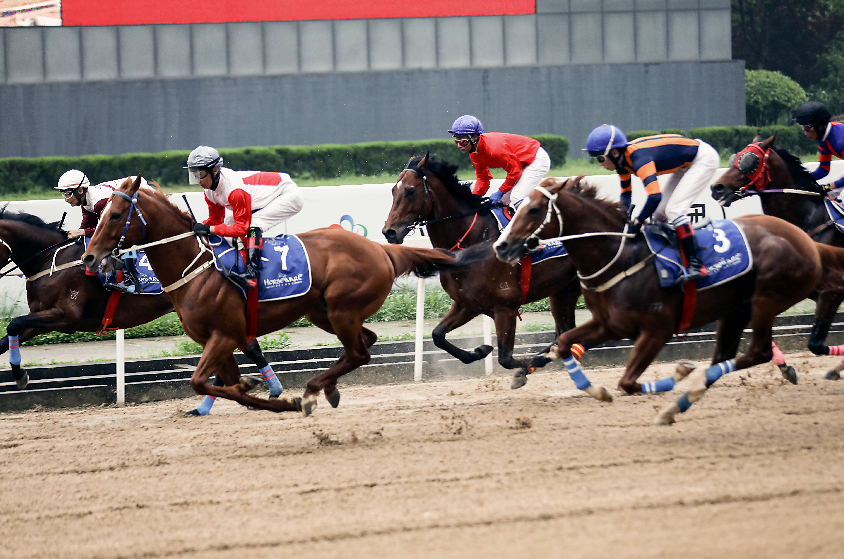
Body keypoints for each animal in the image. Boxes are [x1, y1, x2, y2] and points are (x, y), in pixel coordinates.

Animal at [0, 207, 174, 390]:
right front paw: (19, 374)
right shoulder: (41, 317)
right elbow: (6, 339)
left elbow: (14, 323)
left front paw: (19, 375)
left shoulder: (66, 317)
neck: (49, 260)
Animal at [82, 175, 472, 416]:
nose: (89, 257)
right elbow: (229, 385)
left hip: (342, 310)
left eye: (115, 215)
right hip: (324, 311)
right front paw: (254, 385)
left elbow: (201, 382)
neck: (196, 269)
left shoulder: (224, 335)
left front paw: (287, 400)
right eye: (99, 214)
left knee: (359, 352)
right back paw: (328, 388)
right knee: (366, 341)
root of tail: (381, 248)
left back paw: (314, 389)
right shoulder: (221, 339)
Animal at [380, 153, 588, 390]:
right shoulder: (467, 304)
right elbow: (437, 335)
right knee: (564, 332)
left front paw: (524, 364)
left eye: (410, 191)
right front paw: (479, 351)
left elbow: (505, 358)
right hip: (564, 290)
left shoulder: (505, 307)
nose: (389, 232)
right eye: (393, 190)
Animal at [492, 176, 828, 424]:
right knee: (725, 357)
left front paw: (675, 374)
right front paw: (596, 390)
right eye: (519, 207)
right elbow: (563, 343)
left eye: (534, 210)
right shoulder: (608, 325)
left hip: (767, 298)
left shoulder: (657, 329)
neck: (621, 257)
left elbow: (626, 382)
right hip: (736, 310)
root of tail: (806, 240)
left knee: (756, 351)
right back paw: (682, 400)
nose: (501, 246)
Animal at [708, 136, 844, 380]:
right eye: (735, 157)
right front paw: (786, 368)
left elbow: (816, 345)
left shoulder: (832, 292)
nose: (717, 187)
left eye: (749, 161)